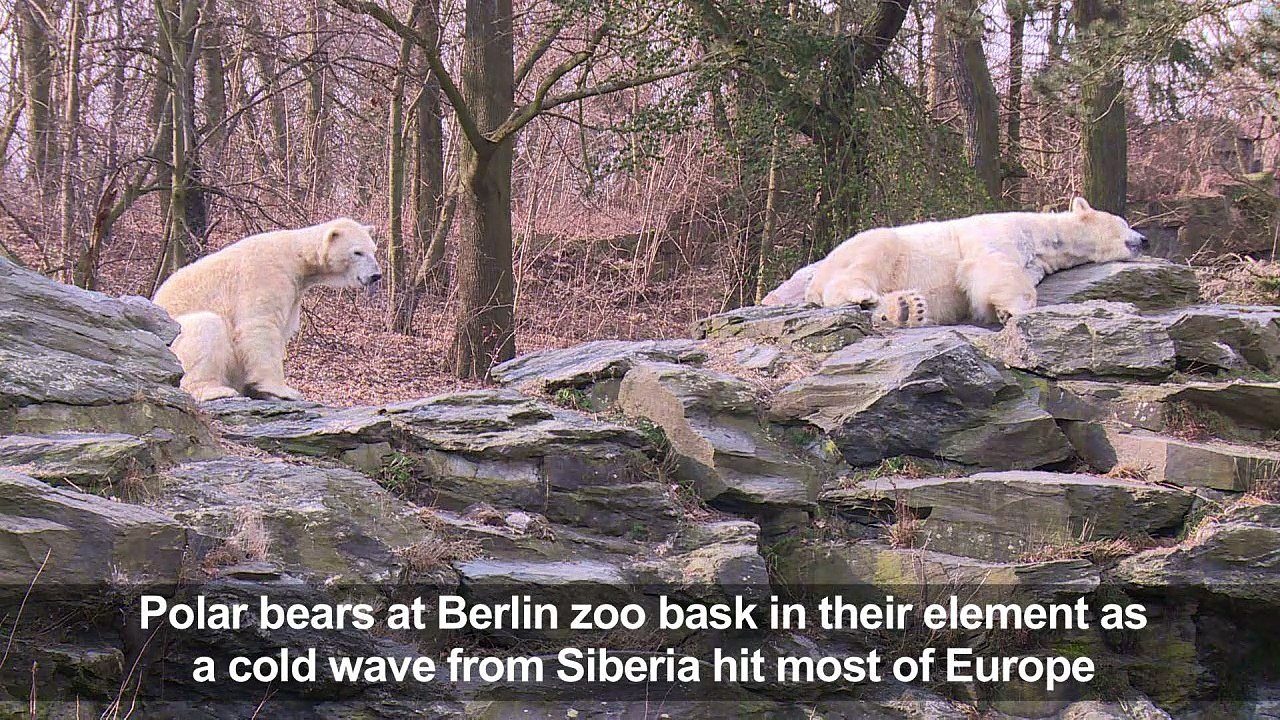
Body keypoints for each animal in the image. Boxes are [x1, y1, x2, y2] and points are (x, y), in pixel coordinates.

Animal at [152, 217, 381, 402]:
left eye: (373, 251)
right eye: (358, 252)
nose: (376, 275)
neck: (295, 256)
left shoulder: (294, 293)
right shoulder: (264, 276)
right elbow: (260, 326)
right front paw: (283, 390)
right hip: (176, 339)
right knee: (206, 326)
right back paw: (215, 390)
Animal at [803, 198, 1147, 326]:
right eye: (1124, 222)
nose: (1144, 239)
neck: (1044, 236)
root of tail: (812, 285)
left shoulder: (1036, 262)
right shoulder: (999, 232)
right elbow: (991, 265)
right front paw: (1013, 310)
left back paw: (907, 309)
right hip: (867, 249)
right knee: (875, 252)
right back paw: (863, 294)